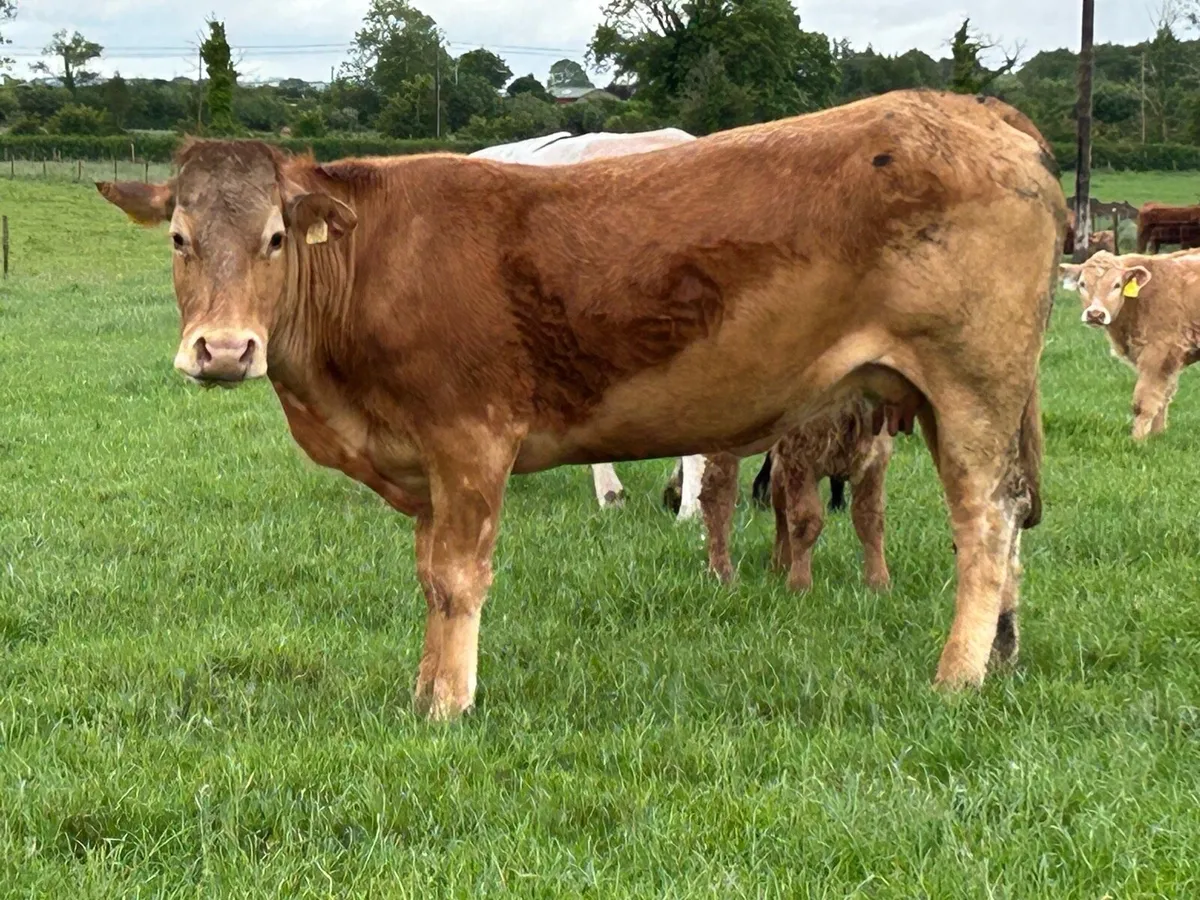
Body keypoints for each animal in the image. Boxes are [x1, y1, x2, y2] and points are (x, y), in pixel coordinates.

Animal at [699, 396, 894, 592]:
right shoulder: (801, 454)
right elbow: (806, 521)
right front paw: (799, 585)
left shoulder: (876, 459)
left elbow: (870, 520)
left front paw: (879, 584)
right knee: (718, 497)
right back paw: (722, 575)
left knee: (779, 507)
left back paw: (779, 567)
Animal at [1061, 248, 1200, 440]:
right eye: (1082, 284)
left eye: (1117, 285)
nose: (1095, 314)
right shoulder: (1171, 360)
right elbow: (1162, 398)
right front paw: (1157, 436)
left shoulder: (1159, 353)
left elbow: (1144, 402)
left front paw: (1137, 440)